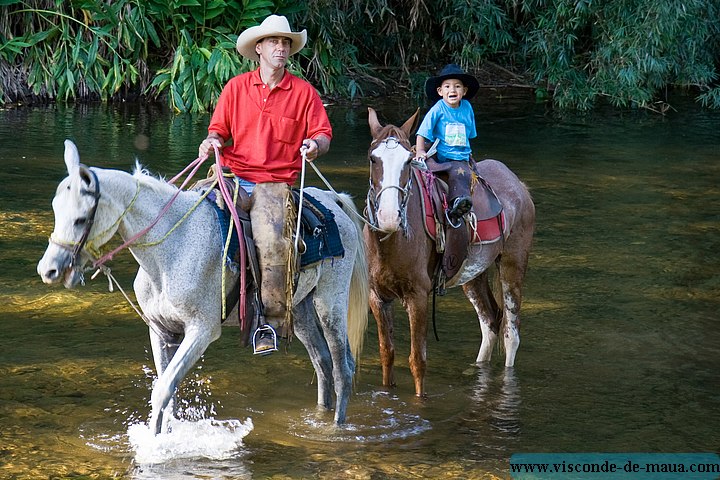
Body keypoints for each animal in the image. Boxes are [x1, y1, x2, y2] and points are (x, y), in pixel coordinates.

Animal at [37, 140, 368, 436]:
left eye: (81, 219)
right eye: (54, 208)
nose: (48, 270)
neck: (173, 247)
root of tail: (334, 200)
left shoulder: (202, 330)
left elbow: (163, 390)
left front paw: (154, 449)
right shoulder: (160, 330)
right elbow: (166, 392)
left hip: (330, 303)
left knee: (342, 367)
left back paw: (336, 428)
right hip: (298, 309)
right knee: (321, 361)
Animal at [366, 109, 536, 398]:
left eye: (408, 161)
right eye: (372, 158)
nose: (389, 216)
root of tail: (519, 185)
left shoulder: (418, 297)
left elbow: (417, 360)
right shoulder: (378, 298)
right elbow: (387, 354)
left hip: (512, 266)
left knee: (511, 333)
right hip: (473, 276)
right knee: (490, 321)